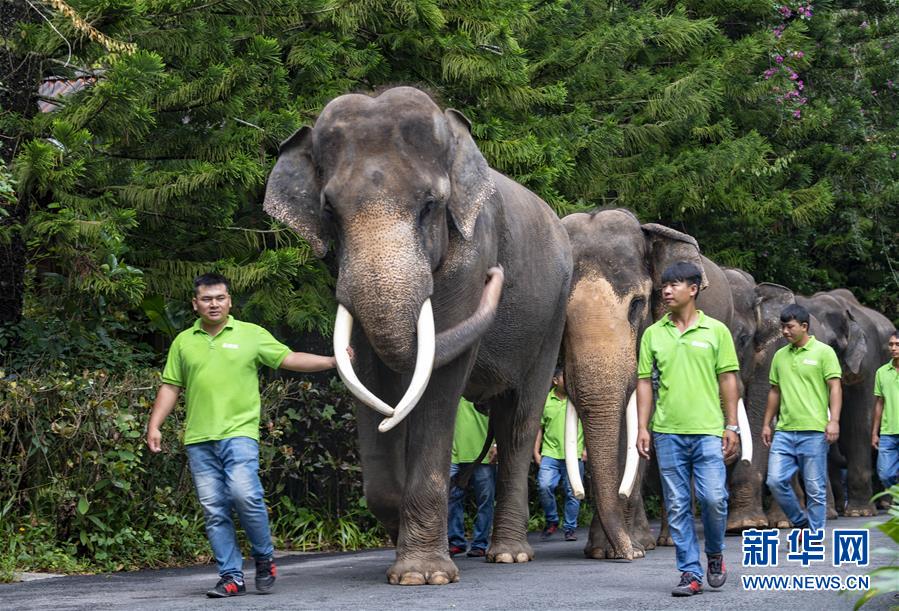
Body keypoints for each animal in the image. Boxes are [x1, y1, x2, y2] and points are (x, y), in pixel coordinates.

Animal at [264, 85, 572, 584]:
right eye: (329, 210)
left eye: (430, 205)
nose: (497, 276)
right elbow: (369, 377)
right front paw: (400, 546)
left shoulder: (471, 257)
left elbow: (439, 384)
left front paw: (422, 576)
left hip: (552, 316)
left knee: (521, 420)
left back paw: (509, 555)